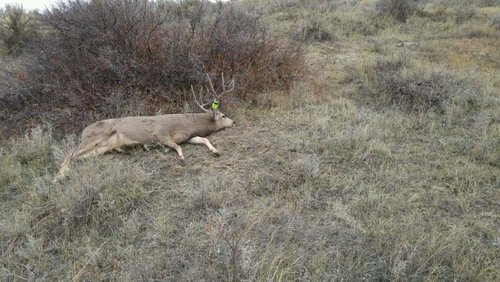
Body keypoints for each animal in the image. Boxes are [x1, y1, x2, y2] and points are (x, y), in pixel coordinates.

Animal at [55, 74, 235, 181]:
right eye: (224, 115)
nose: (234, 122)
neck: (186, 125)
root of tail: (83, 131)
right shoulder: (161, 133)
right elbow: (177, 146)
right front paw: (182, 159)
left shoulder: (189, 136)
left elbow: (203, 139)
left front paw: (216, 151)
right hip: (94, 137)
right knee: (70, 152)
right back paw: (58, 176)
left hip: (101, 148)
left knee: (77, 156)